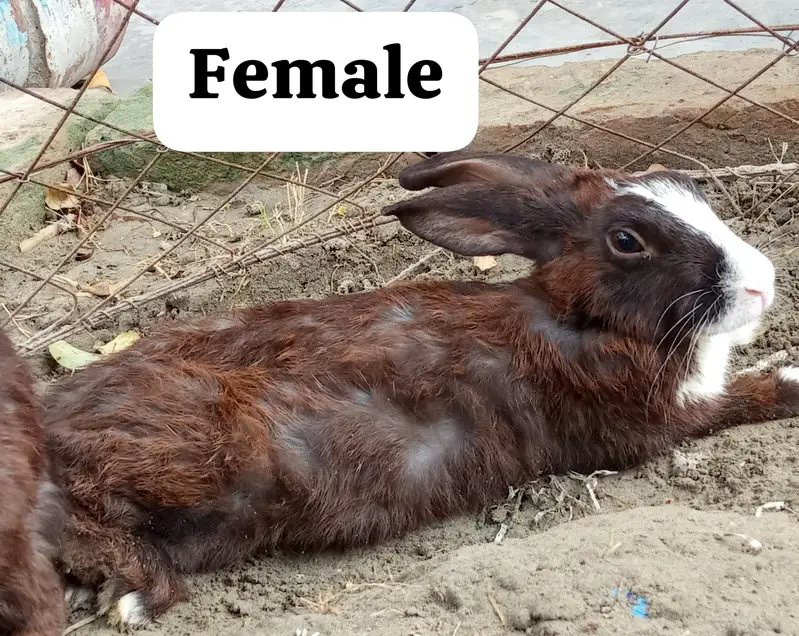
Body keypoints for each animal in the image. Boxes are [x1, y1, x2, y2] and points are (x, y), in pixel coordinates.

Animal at [43, 151, 799, 629]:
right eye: (626, 240)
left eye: (689, 188)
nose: (763, 284)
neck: (579, 318)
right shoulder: (652, 421)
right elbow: (731, 403)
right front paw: (789, 381)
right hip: (203, 462)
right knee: (97, 520)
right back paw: (138, 599)